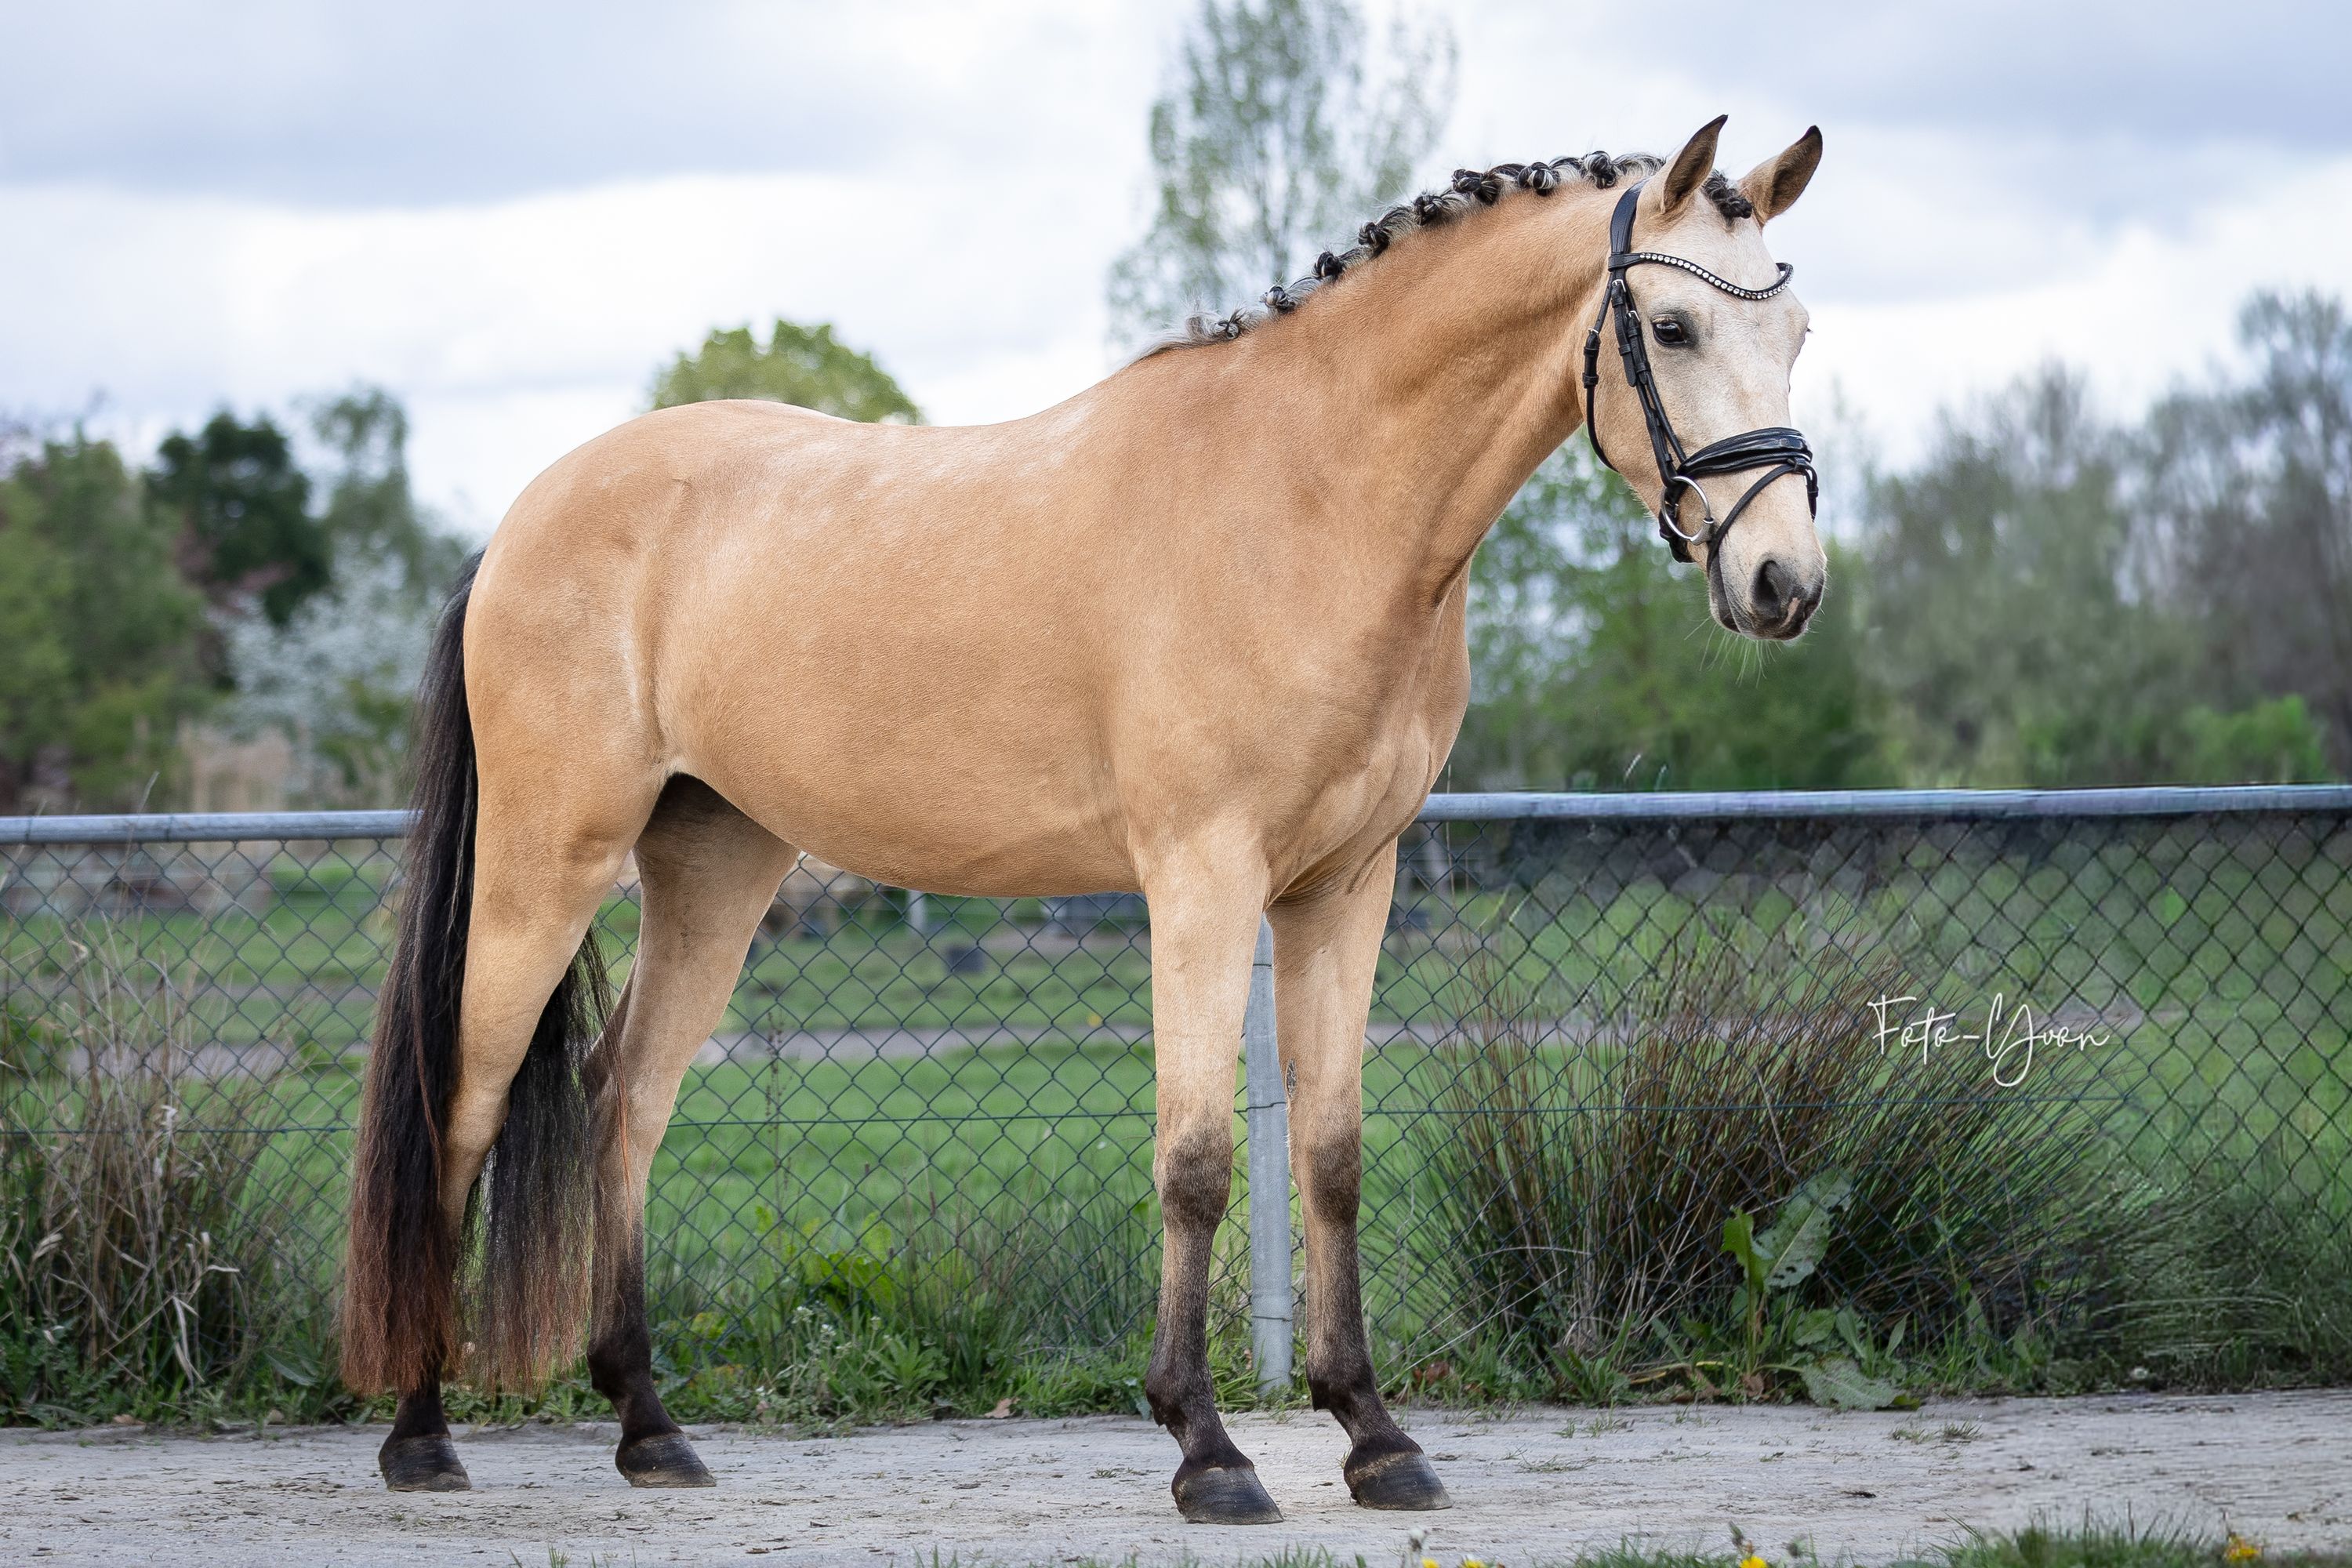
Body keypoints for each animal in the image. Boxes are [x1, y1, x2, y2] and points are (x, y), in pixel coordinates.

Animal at [341, 114, 1826, 1524]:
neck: (1310, 496)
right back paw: (420, 1436)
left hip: (715, 865)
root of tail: (524, 519)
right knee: (464, 1106)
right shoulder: (1203, 879)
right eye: (1675, 327)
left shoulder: (1347, 887)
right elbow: (1198, 1160)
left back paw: (650, 1431)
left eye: (1797, 330)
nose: (1783, 583)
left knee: (625, 1104)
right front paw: (1208, 1451)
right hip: (549, 864)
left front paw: (1376, 1439)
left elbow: (1333, 1157)